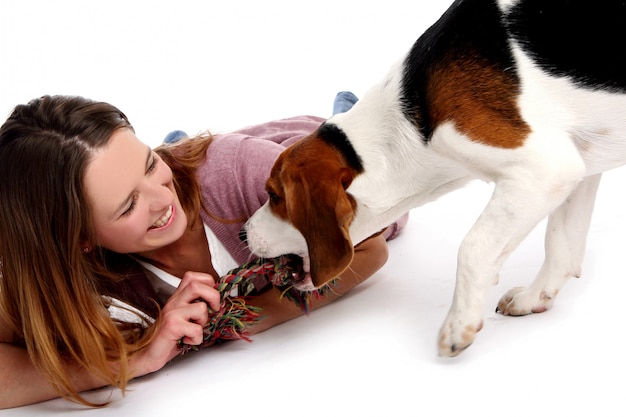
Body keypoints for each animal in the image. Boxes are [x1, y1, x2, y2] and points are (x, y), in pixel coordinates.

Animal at [241, 0, 624, 358]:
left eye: (274, 195)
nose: (244, 232)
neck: (408, 119)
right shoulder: (580, 163)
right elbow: (562, 245)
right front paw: (535, 296)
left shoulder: (546, 169)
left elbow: (473, 248)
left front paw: (459, 324)